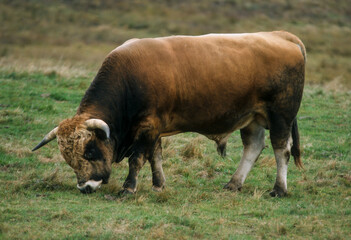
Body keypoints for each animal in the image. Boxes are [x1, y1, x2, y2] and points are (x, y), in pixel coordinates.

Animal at [33, 31, 306, 197]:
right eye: (68, 158)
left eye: (89, 152)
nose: (86, 187)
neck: (129, 79)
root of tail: (280, 35)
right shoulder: (154, 128)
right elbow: (156, 157)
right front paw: (158, 184)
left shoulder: (147, 127)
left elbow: (138, 158)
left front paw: (128, 188)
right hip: (252, 117)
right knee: (253, 146)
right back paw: (234, 183)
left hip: (280, 116)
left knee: (281, 149)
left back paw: (279, 189)